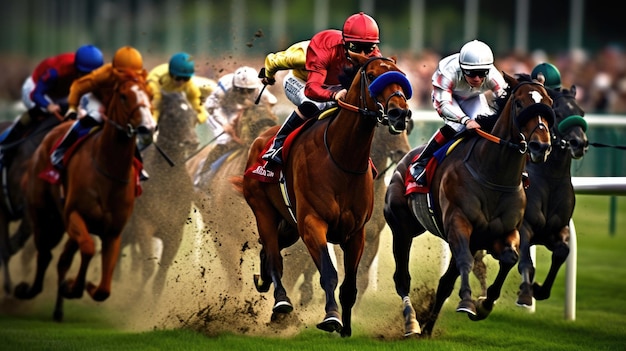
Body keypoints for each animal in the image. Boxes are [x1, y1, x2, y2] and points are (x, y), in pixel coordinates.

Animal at [13, 71, 155, 322]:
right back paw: (27, 290)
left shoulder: (113, 232)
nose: (148, 127)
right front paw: (74, 286)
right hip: (42, 215)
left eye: (150, 95)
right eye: (123, 96)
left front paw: (82, 286)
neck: (108, 170)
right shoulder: (75, 216)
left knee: (61, 258)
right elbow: (88, 248)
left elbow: (104, 289)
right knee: (44, 253)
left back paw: (57, 307)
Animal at [116, 91, 196, 300]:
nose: (192, 142)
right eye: (172, 115)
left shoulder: (174, 233)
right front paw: (134, 299)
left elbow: (161, 274)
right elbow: (149, 268)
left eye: (193, 115)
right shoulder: (143, 226)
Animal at [241, 55, 412, 338]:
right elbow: (329, 273)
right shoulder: (313, 223)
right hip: (263, 209)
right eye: (372, 75)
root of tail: (259, 141)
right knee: (274, 256)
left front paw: (347, 329)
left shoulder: (357, 233)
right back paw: (281, 302)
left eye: (400, 74)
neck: (342, 158)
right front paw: (331, 317)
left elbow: (350, 284)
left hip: (290, 225)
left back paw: (264, 283)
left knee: (269, 250)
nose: (400, 113)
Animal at [382, 72, 552, 338]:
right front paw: (466, 302)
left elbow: (509, 259)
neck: (494, 176)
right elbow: (464, 261)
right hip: (402, 228)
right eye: (519, 104)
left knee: (444, 283)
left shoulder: (502, 233)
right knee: (402, 278)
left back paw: (428, 327)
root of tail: (403, 162)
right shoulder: (458, 223)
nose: (541, 146)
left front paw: (484, 304)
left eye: (549, 103)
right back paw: (412, 322)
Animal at [512, 82, 584, 308]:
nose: (580, 143)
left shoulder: (558, 230)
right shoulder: (525, 226)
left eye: (581, 113)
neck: (551, 179)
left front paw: (539, 289)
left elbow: (562, 252)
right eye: (558, 113)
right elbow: (526, 261)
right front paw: (526, 293)